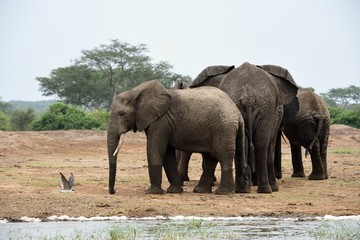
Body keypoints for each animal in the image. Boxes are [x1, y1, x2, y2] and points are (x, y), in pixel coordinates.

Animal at [107, 79, 248, 194]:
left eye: (122, 114)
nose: (114, 191)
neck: (135, 92)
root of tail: (237, 113)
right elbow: (167, 153)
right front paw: (174, 191)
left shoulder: (160, 121)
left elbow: (155, 149)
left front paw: (152, 192)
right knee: (211, 157)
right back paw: (200, 191)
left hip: (223, 129)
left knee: (223, 156)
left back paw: (223, 192)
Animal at [184, 62, 300, 193]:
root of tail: (247, 96)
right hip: (264, 108)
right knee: (260, 143)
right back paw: (261, 189)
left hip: (258, 107)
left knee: (253, 143)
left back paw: (248, 188)